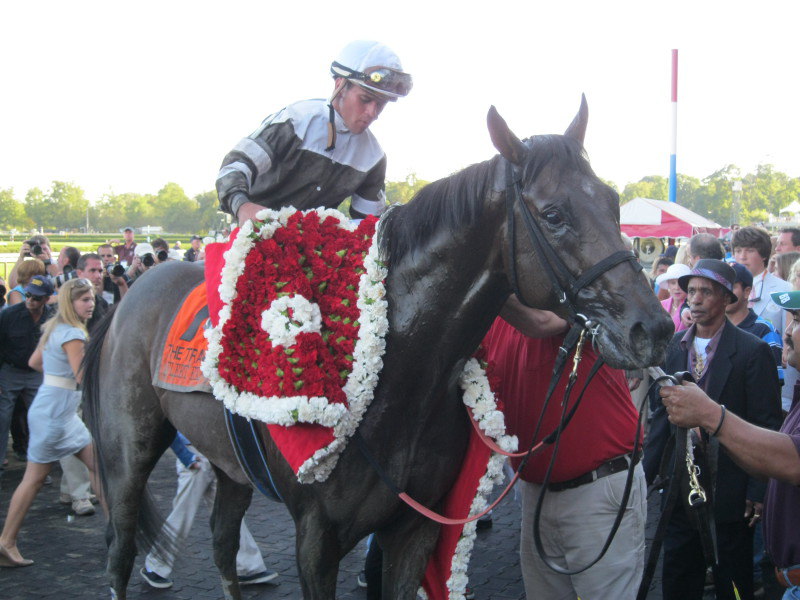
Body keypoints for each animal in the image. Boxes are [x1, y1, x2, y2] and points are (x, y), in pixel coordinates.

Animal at [83, 99, 676, 600]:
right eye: (554, 214)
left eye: (614, 203)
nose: (653, 328)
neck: (403, 379)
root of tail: (128, 293)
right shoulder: (316, 539)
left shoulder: (415, 528)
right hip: (126, 451)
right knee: (119, 550)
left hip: (231, 468)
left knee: (222, 543)